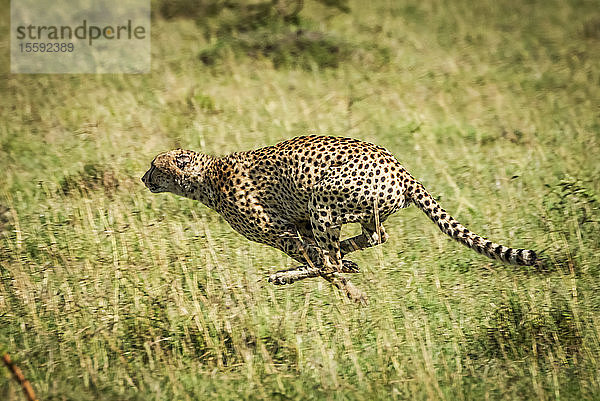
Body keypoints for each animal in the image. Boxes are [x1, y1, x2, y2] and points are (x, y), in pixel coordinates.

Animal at [142, 134, 540, 300]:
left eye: (155, 166)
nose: (144, 178)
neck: (207, 178)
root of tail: (401, 169)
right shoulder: (298, 226)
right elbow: (319, 258)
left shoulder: (283, 232)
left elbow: (320, 263)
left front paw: (354, 294)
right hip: (349, 210)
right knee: (373, 237)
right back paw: (344, 261)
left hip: (322, 197)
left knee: (335, 256)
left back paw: (296, 276)